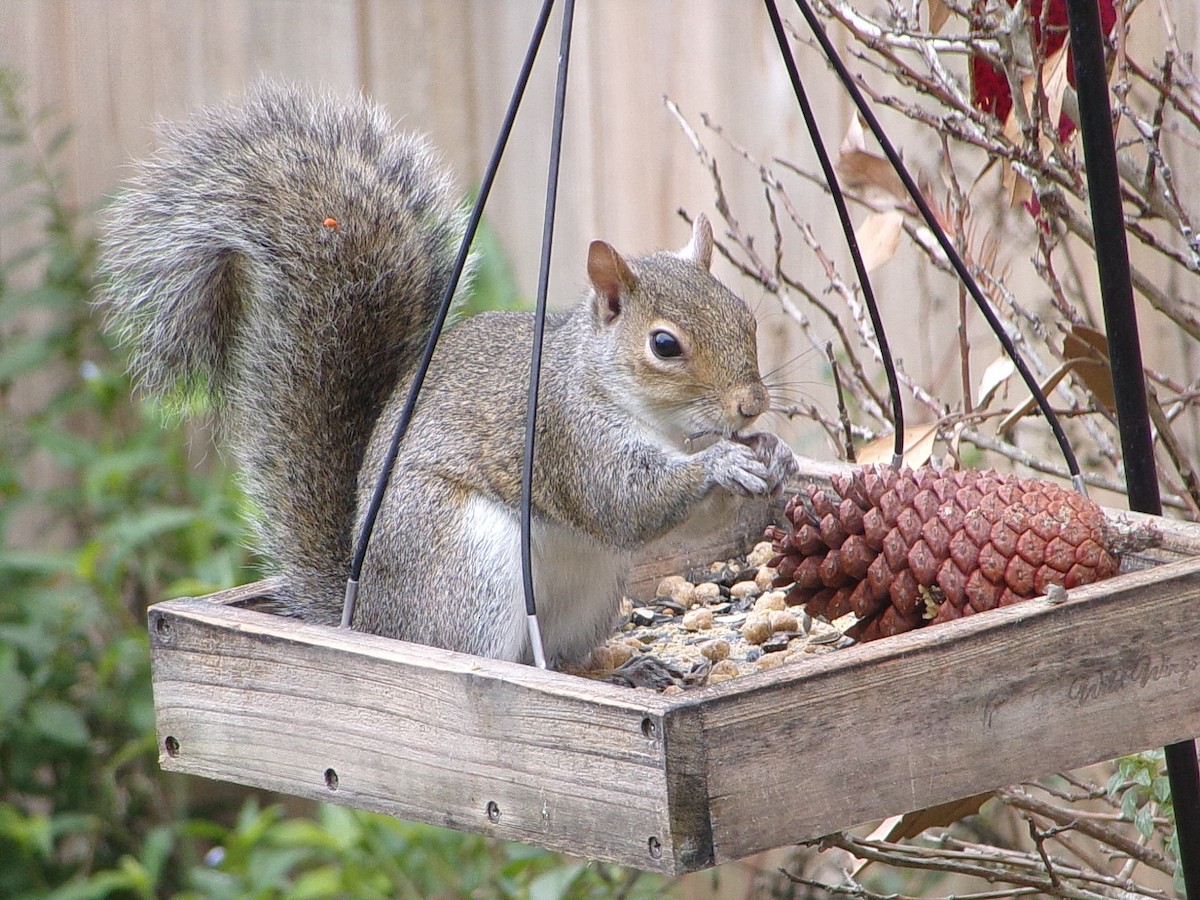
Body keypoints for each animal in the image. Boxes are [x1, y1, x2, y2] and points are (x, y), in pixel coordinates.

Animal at [99, 82, 798, 669]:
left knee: (561, 657)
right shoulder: (564, 434)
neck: (660, 423)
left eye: (745, 318)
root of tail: (373, 623)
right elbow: (622, 502)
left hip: (592, 593)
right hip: (467, 568)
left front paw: (775, 454)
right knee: (490, 662)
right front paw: (723, 464)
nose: (750, 406)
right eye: (664, 345)